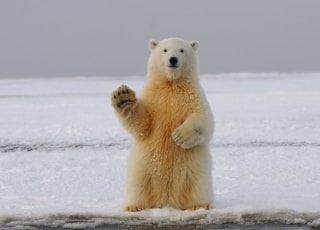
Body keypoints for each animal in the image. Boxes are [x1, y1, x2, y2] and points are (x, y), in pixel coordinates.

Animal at [111, 37, 214, 212]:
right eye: (165, 50)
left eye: (181, 50)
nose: (173, 59)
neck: (171, 84)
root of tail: (167, 200)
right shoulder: (154, 98)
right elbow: (143, 123)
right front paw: (123, 97)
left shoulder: (193, 96)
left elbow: (203, 119)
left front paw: (179, 136)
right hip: (142, 168)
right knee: (137, 186)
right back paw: (134, 207)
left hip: (196, 170)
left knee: (198, 186)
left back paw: (200, 205)